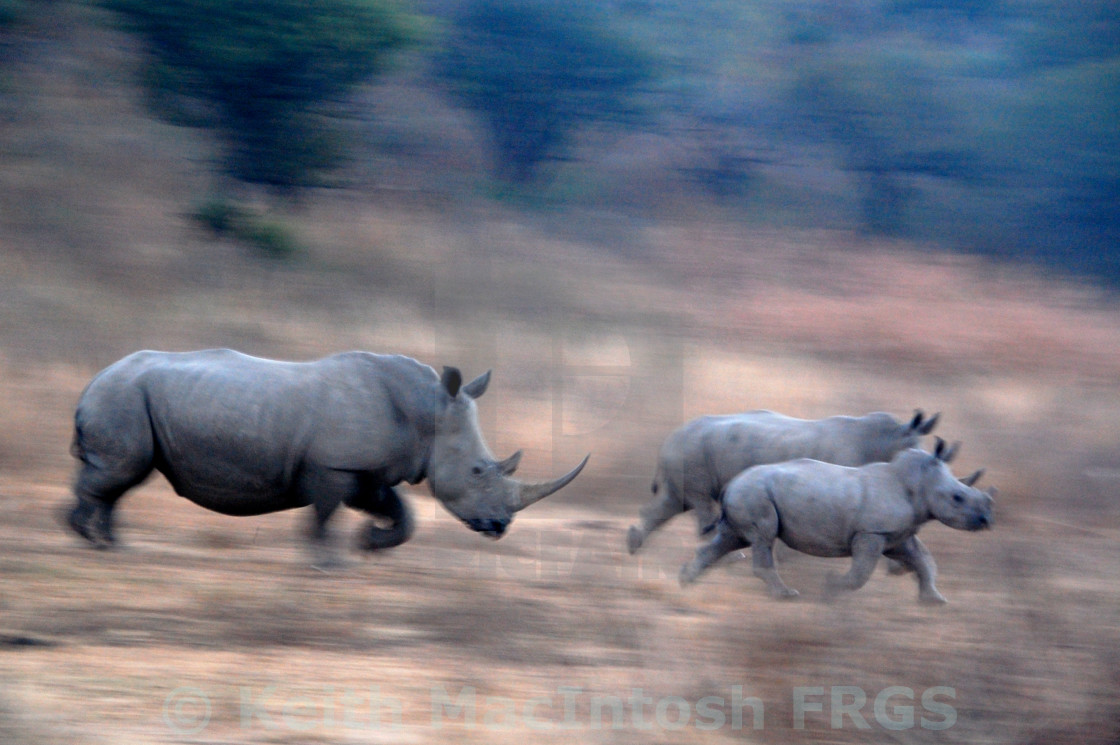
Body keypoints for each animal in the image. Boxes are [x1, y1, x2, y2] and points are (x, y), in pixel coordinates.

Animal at [68, 351, 591, 560]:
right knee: (120, 471)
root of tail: (92, 380)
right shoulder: (334, 463)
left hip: (130, 396)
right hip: (122, 397)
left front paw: (370, 543)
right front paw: (330, 564)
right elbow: (322, 514)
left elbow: (399, 513)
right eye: (479, 470)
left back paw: (109, 544)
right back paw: (85, 536)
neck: (427, 412)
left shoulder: (369, 467)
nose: (501, 527)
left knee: (124, 478)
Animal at [631, 407, 936, 551]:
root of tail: (671, 438)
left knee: (673, 502)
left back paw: (634, 546)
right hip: (692, 452)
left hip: (687, 453)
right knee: (701, 502)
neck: (889, 438)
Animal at [676, 439, 994, 600]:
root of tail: (731, 484)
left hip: (747, 494)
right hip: (755, 494)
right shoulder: (871, 532)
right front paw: (830, 589)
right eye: (957, 498)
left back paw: (686, 582)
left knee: (732, 538)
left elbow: (924, 561)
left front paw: (934, 600)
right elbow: (861, 573)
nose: (986, 520)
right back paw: (787, 595)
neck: (918, 484)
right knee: (763, 536)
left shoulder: (898, 534)